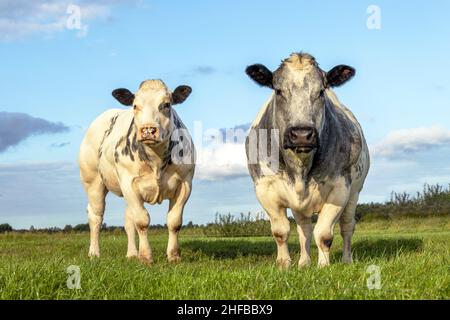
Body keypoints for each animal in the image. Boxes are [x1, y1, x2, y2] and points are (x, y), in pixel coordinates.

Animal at [79, 79, 195, 264]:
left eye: (166, 104)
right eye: (135, 105)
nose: (148, 130)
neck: (156, 159)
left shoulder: (185, 183)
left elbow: (174, 221)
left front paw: (173, 256)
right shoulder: (129, 183)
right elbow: (142, 221)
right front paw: (146, 257)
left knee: (128, 221)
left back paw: (132, 254)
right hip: (93, 182)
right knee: (96, 216)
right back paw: (94, 253)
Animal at [246, 52, 370, 268]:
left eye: (320, 91)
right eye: (278, 90)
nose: (302, 134)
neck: (300, 168)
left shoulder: (339, 189)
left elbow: (324, 234)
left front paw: (323, 266)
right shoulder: (265, 189)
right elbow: (281, 232)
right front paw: (284, 264)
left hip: (355, 192)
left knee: (347, 226)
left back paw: (346, 260)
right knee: (304, 229)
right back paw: (304, 262)